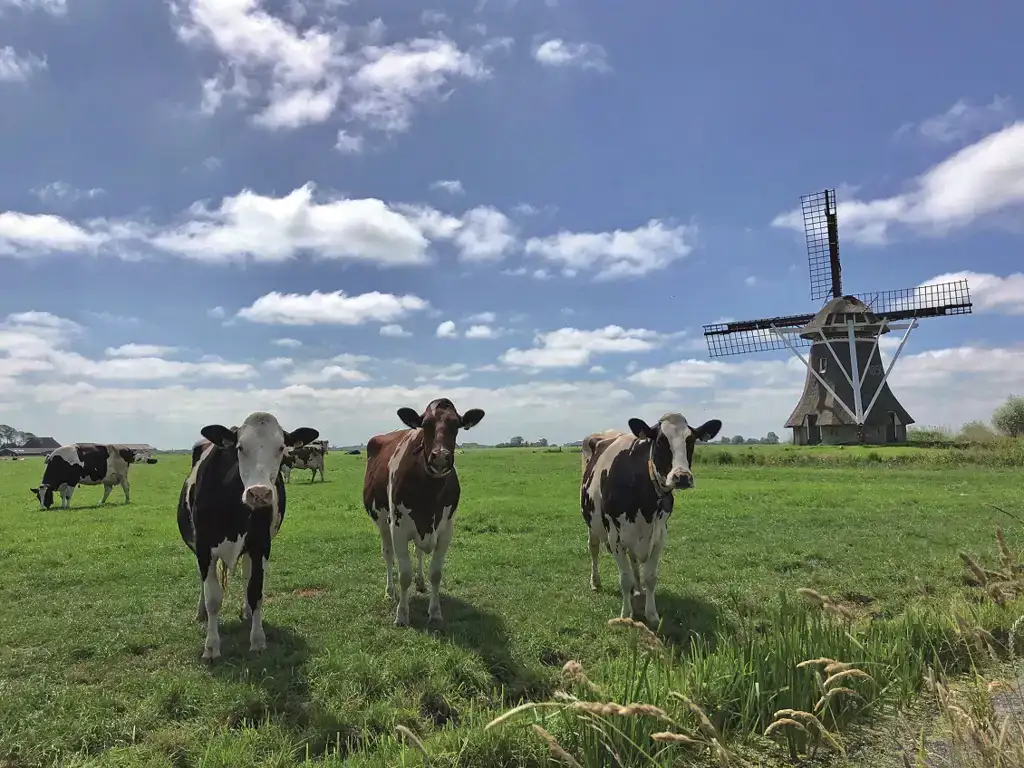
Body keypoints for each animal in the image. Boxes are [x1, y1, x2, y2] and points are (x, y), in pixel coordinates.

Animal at [177, 412, 318, 661]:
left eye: (281, 447)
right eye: (240, 447)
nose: (259, 493)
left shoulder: (260, 545)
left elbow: (255, 590)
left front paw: (258, 640)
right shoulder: (204, 548)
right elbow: (213, 597)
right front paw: (211, 647)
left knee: (246, 577)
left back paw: (248, 613)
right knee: (203, 583)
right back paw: (201, 612)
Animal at [363, 398, 485, 627]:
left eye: (456, 425)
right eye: (425, 424)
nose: (441, 457)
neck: (429, 494)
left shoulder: (446, 530)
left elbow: (435, 574)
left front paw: (435, 612)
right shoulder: (398, 529)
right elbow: (404, 575)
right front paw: (402, 615)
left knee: (418, 552)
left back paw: (420, 583)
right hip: (382, 522)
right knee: (388, 554)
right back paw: (389, 591)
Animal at [580, 413, 721, 626]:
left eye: (690, 440)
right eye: (661, 440)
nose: (682, 477)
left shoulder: (659, 534)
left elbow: (651, 577)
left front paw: (652, 614)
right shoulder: (614, 536)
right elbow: (624, 579)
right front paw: (626, 614)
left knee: (633, 558)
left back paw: (638, 588)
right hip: (593, 523)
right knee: (594, 548)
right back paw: (595, 582)